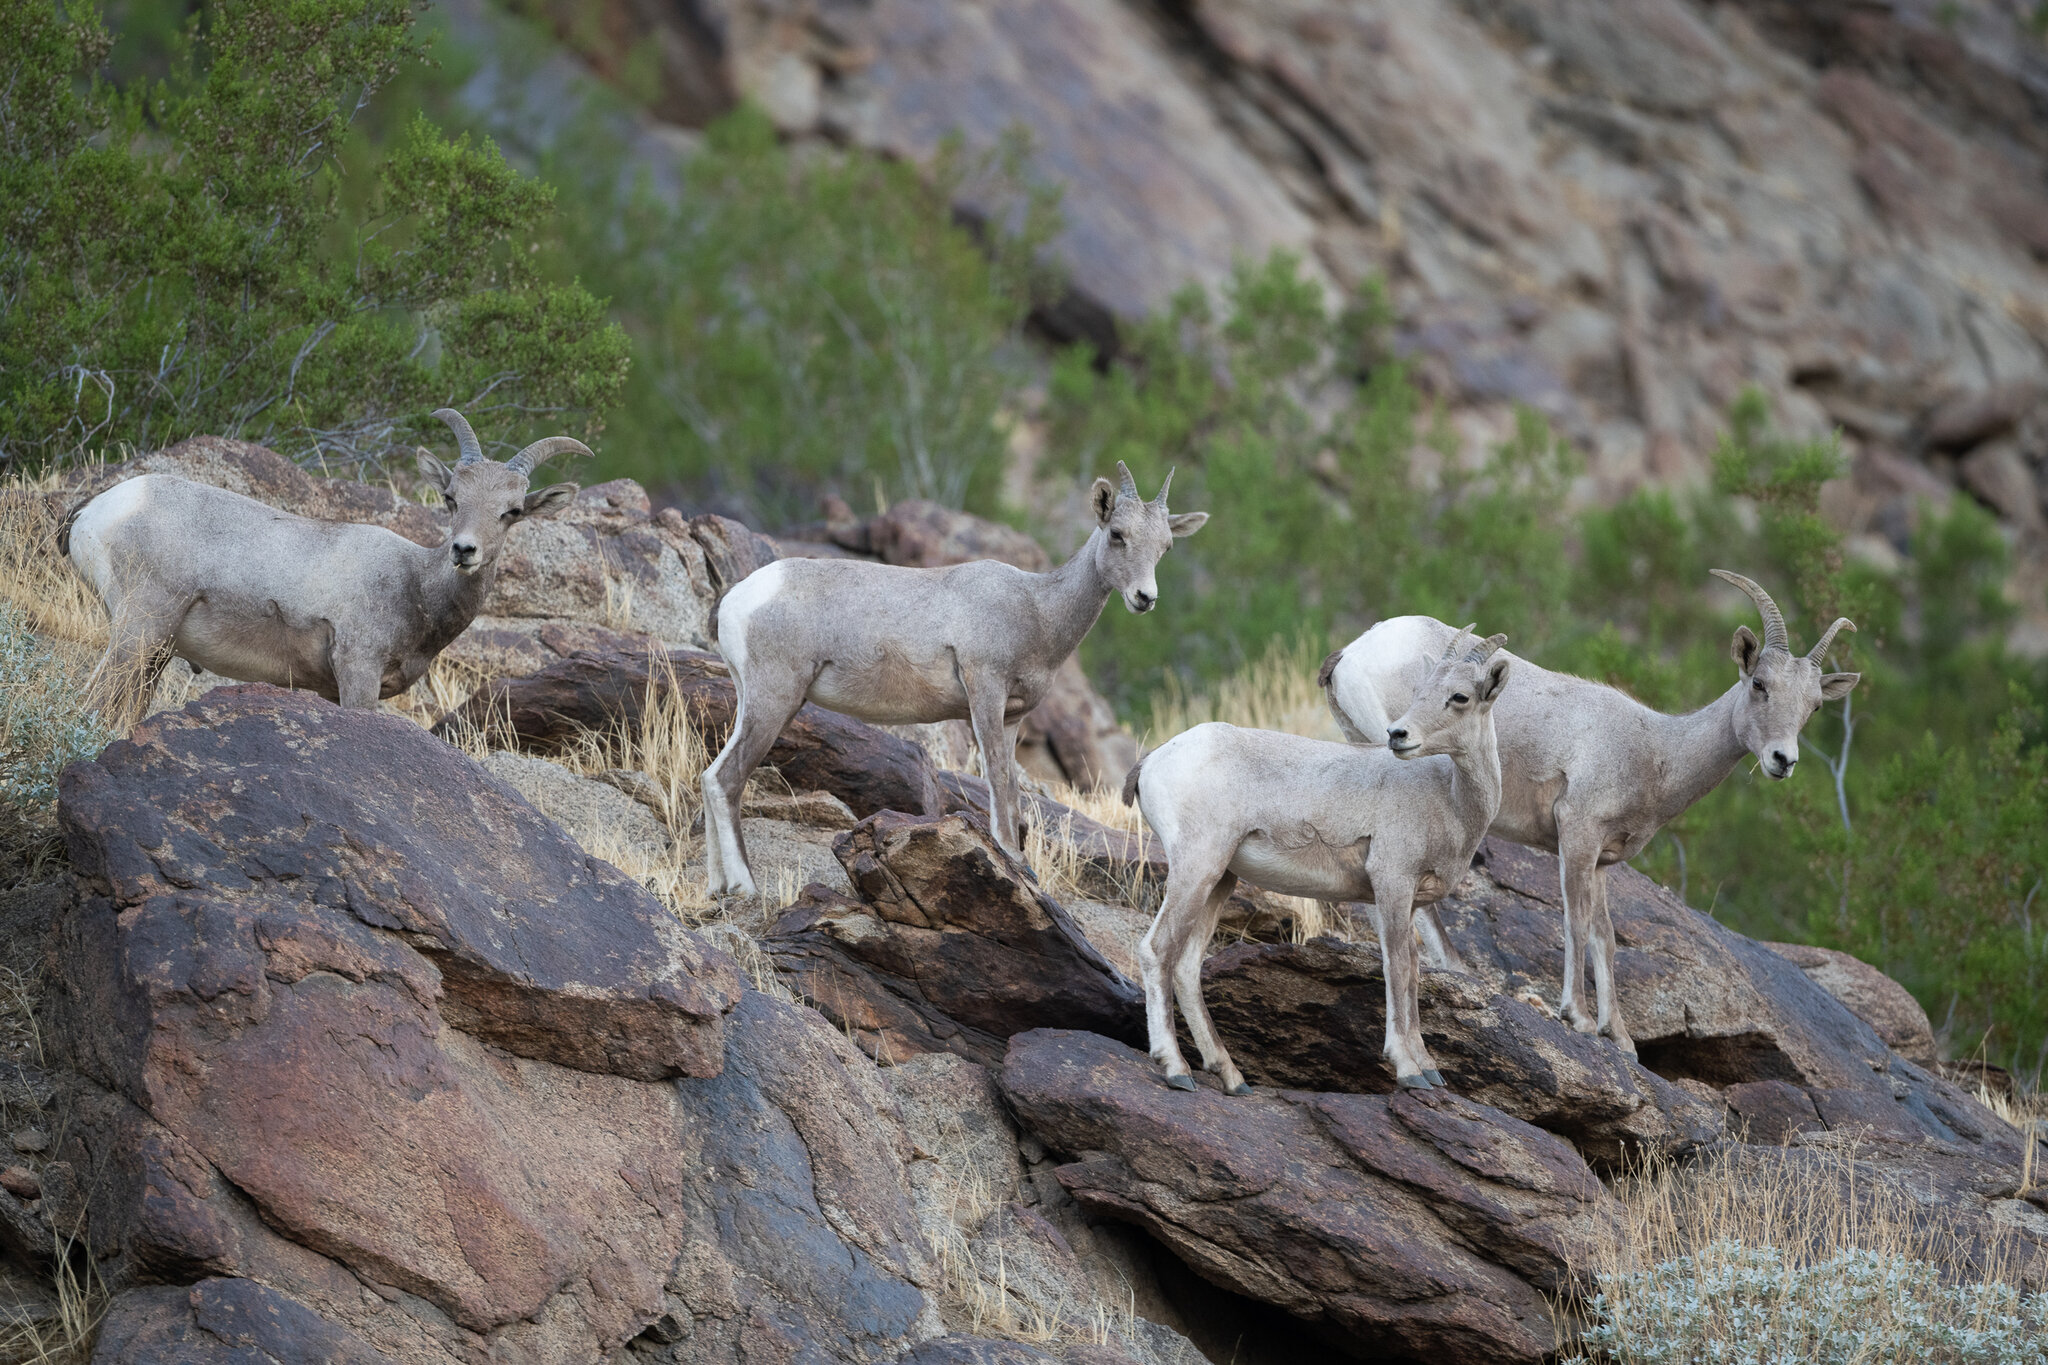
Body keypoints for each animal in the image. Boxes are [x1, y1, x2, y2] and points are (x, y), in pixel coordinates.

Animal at [62, 409, 584, 718]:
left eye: (512, 512)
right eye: (452, 498)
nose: (464, 551)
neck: (415, 588)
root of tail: (96, 511)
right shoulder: (358, 673)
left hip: (154, 653)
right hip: (140, 629)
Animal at [702, 463, 1206, 898]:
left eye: (1165, 546)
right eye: (1117, 534)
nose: (1145, 598)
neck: (1036, 611)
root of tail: (737, 600)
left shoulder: (1012, 718)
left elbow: (1012, 789)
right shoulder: (985, 693)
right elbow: (998, 782)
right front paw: (1013, 861)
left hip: (751, 702)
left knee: (710, 777)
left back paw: (717, 887)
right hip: (775, 700)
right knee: (727, 779)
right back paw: (745, 887)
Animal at [1125, 628, 1511, 1093]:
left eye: (1459, 696)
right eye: (1421, 692)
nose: (1398, 735)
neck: (1450, 800)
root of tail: (1153, 761)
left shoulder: (1400, 901)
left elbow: (1414, 972)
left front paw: (1429, 1068)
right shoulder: (1392, 884)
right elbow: (1397, 967)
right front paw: (1409, 1071)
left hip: (1220, 881)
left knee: (1186, 966)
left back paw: (1232, 1077)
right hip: (1197, 868)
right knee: (1157, 950)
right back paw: (1177, 1070)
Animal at [1318, 571, 1859, 1054]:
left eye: (1813, 706)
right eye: (1760, 684)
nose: (1782, 760)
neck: (1656, 751)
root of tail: (1352, 653)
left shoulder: (1602, 860)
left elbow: (1605, 937)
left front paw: (1619, 1038)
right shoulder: (1576, 835)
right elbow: (1575, 921)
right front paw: (1576, 1016)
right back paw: (1458, 969)